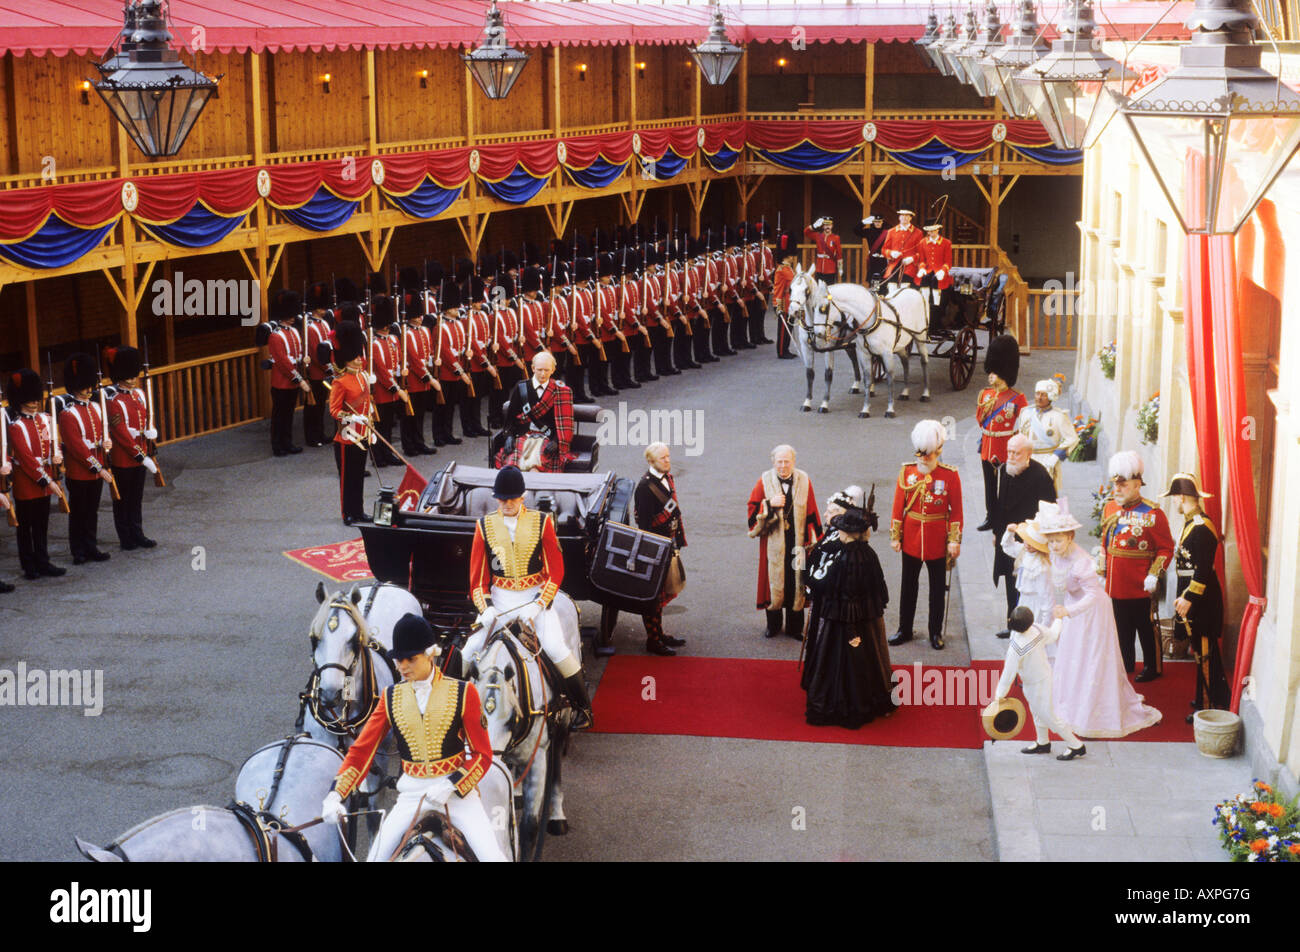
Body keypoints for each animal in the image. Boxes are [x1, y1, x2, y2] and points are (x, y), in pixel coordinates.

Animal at [785, 267, 930, 416]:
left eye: (806, 290)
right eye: (790, 289)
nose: (793, 311)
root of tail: (913, 291)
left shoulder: (829, 348)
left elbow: (828, 374)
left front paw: (824, 404)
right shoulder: (806, 347)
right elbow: (809, 374)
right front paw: (807, 402)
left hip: (920, 338)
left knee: (923, 361)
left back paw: (924, 394)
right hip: (892, 344)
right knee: (900, 360)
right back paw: (899, 391)